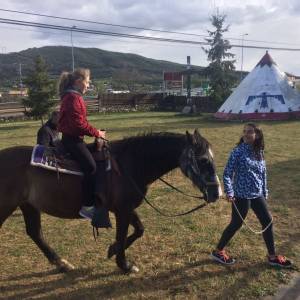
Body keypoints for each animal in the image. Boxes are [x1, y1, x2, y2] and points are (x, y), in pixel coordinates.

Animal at [0, 130, 220, 274]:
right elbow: (123, 234)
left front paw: (112, 250)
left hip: (28, 205)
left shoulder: (126, 208)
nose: (216, 192)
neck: (130, 164)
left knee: (35, 233)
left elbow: (139, 230)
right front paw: (124, 264)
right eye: (203, 160)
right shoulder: (122, 210)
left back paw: (61, 263)